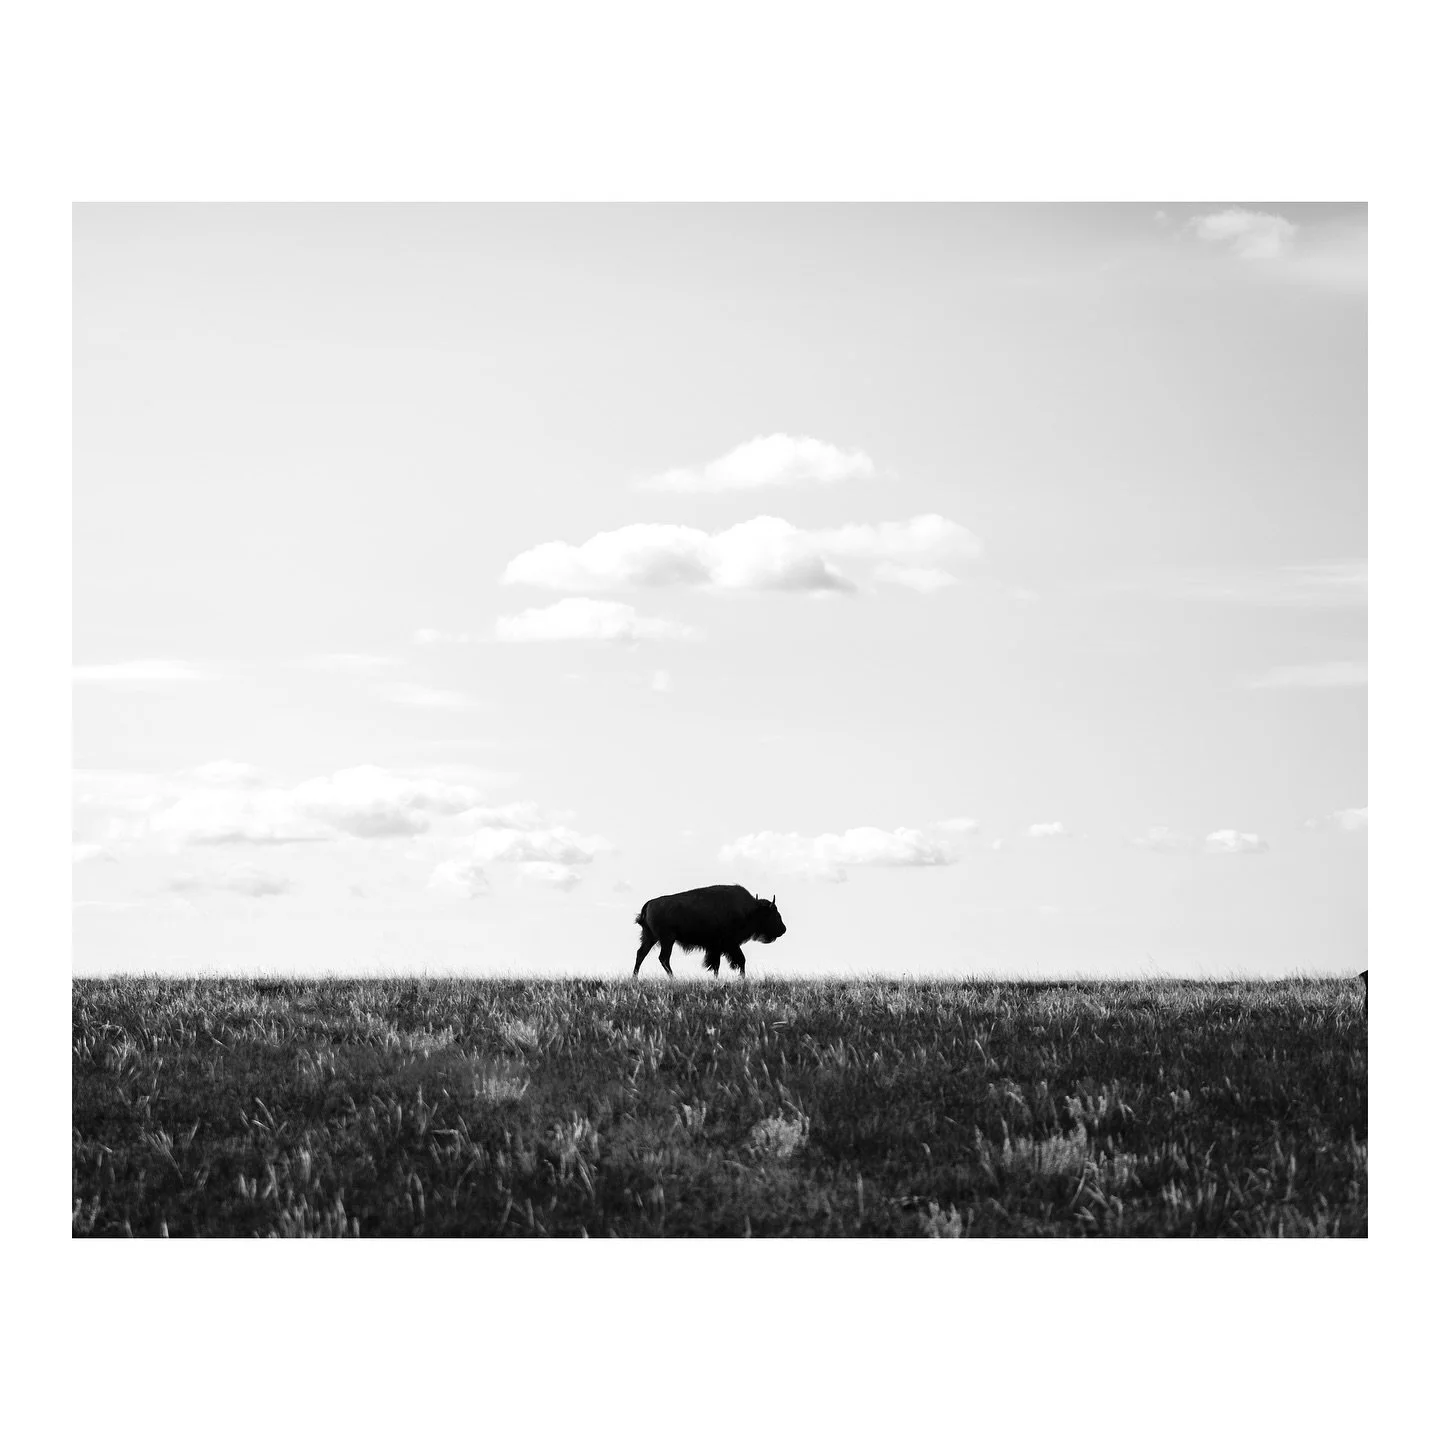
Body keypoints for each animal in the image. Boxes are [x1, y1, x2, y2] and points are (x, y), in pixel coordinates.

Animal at [633, 884, 787, 978]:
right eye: (774, 914)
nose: (783, 929)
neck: (751, 910)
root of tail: (650, 903)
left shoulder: (716, 947)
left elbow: (716, 965)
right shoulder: (730, 944)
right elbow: (740, 960)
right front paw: (742, 978)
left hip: (651, 938)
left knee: (641, 954)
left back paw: (635, 978)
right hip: (667, 939)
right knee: (663, 958)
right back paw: (673, 979)